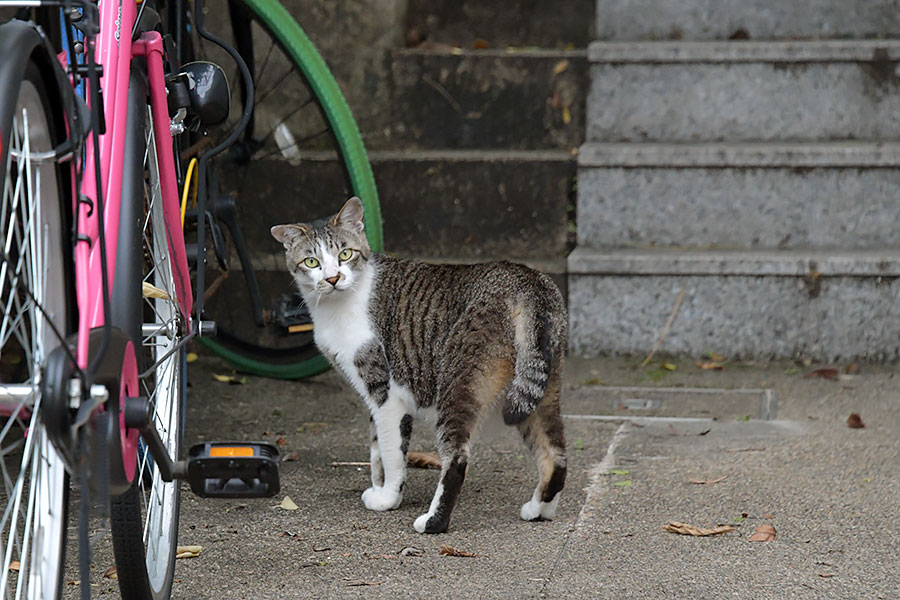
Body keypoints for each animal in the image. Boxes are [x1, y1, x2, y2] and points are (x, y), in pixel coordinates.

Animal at [274, 198, 568, 536]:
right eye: (311, 262)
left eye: (344, 254)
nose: (333, 278)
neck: (339, 305)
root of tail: (526, 281)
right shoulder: (372, 397)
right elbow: (376, 447)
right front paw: (380, 490)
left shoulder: (384, 392)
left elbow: (391, 451)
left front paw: (388, 497)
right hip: (541, 383)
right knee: (555, 453)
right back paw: (539, 510)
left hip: (458, 381)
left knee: (457, 459)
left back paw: (433, 522)